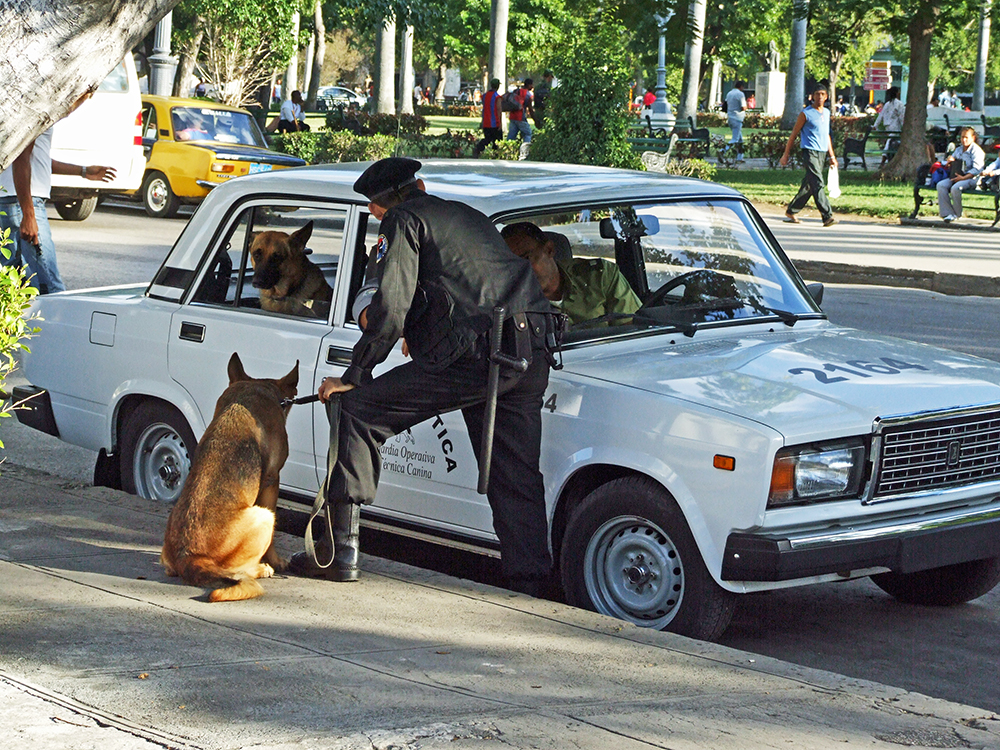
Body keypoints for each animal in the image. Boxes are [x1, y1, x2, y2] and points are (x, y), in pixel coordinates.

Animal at [162, 352, 296, 604]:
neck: (256, 388)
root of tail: (189, 557)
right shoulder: (272, 480)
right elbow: (272, 542)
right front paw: (276, 561)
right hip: (265, 516)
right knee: (243, 570)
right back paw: (263, 568)